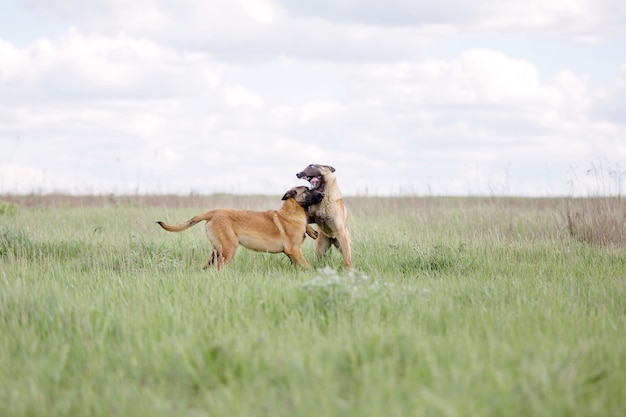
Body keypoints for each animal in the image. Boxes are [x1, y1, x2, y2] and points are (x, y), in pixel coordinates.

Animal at [156, 185, 322, 270]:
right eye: (308, 190)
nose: (322, 193)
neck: (291, 212)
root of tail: (213, 212)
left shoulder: (291, 254)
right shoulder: (294, 250)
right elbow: (307, 267)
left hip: (216, 252)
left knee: (206, 268)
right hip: (228, 250)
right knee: (218, 269)